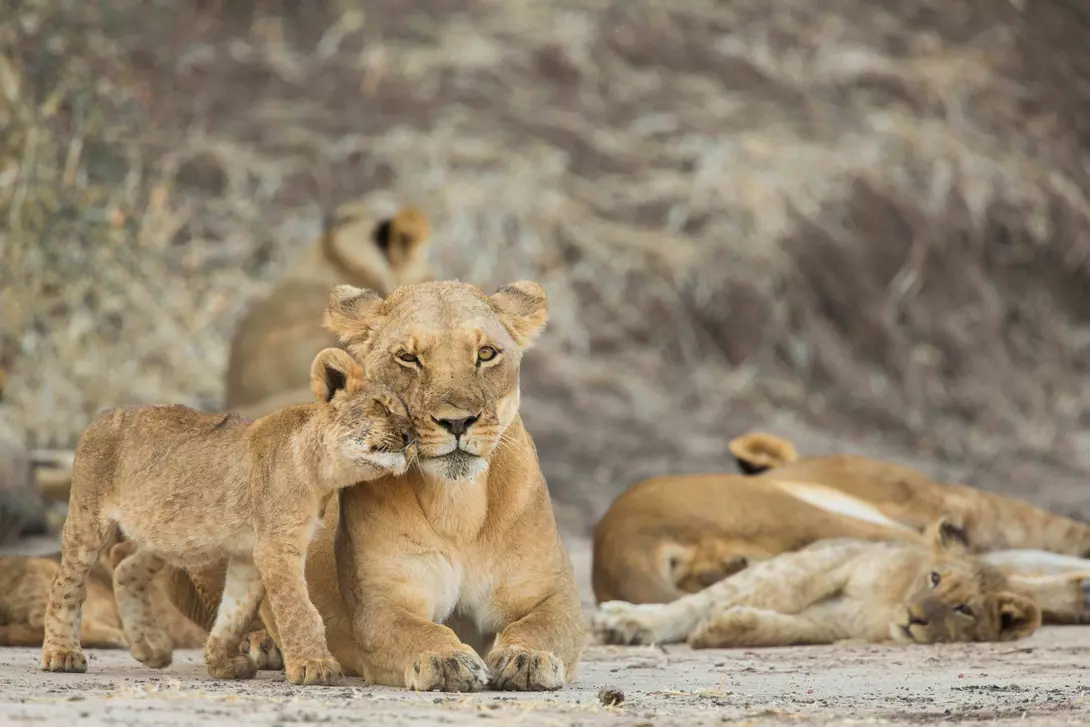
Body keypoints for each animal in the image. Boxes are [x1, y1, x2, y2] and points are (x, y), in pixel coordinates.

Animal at [40, 348, 416, 687]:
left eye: (408, 414)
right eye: (381, 406)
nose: (411, 436)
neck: (322, 470)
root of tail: (102, 416)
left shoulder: (248, 554)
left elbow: (234, 613)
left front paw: (223, 663)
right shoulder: (277, 547)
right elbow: (298, 609)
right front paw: (315, 667)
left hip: (162, 535)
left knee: (125, 566)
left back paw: (151, 648)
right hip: (88, 522)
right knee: (66, 585)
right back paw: (62, 654)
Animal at [166, 280, 585, 693]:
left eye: (486, 353)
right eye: (408, 358)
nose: (457, 422)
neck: (458, 506)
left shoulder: (552, 595)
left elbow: (542, 626)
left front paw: (526, 658)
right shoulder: (380, 607)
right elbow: (421, 631)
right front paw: (447, 659)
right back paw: (264, 646)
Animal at [591, 519, 1069, 649]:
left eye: (965, 609)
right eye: (935, 578)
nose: (914, 618)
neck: (889, 604)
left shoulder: (838, 622)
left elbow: (794, 628)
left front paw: (726, 628)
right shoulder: (830, 560)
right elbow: (775, 592)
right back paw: (623, 621)